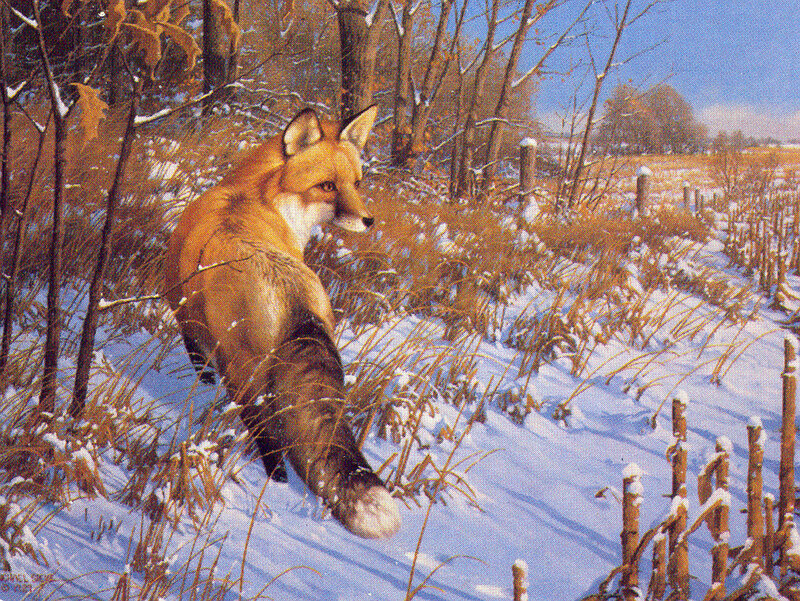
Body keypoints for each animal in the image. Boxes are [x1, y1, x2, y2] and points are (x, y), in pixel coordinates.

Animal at [163, 106, 401, 539]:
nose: (368, 220)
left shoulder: (182, 311)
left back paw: (275, 483)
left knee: (267, 437)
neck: (253, 195)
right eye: (327, 186)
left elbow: (196, 361)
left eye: (356, 183)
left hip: (245, 378)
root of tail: (293, 297)